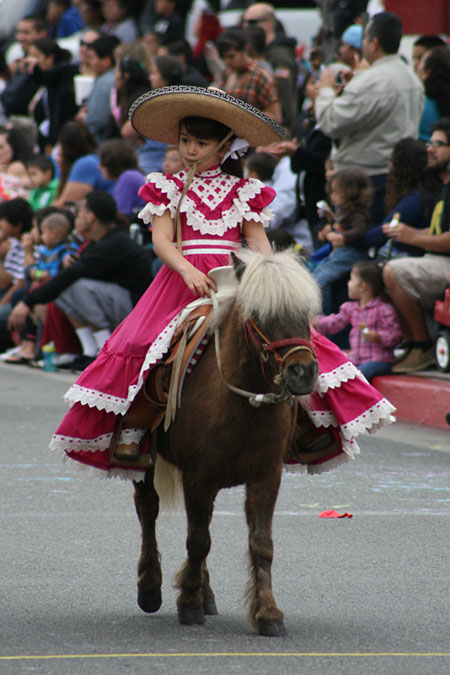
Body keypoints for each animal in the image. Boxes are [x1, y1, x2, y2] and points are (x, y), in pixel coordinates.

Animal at [132, 250, 322, 640]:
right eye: (259, 315)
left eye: (306, 313)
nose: (302, 372)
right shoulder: (198, 477)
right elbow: (198, 541)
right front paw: (188, 601)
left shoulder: (266, 476)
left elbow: (261, 544)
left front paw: (267, 611)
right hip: (145, 462)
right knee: (148, 511)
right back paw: (150, 587)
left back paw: (205, 593)